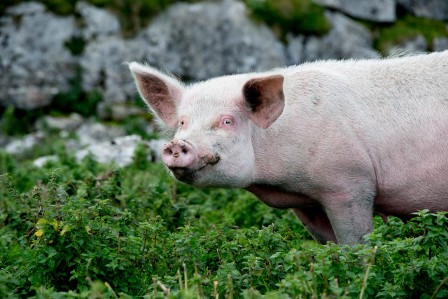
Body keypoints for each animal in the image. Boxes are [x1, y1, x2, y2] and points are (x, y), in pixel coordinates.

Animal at [128, 50, 446, 245]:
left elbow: (355, 241)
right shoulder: (308, 203)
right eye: (183, 122)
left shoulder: (350, 184)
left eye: (227, 121)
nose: (177, 144)